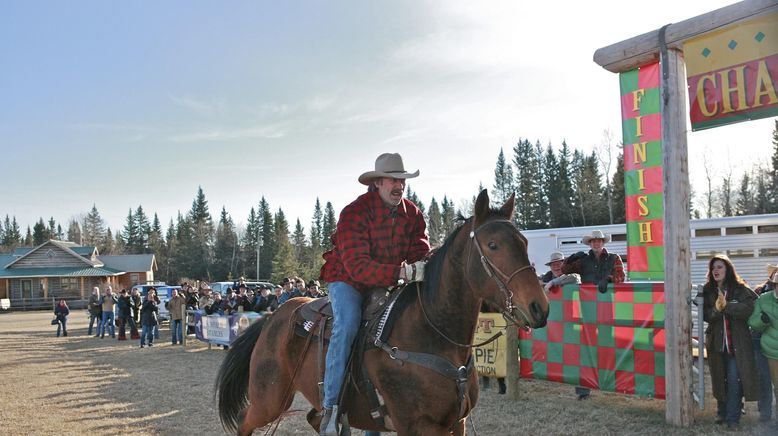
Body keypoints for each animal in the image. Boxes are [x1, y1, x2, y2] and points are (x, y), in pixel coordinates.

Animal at [215, 191, 548, 436]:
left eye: (524, 242)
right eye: (492, 245)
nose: (539, 307)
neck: (431, 335)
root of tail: (274, 317)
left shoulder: (458, 423)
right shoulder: (416, 426)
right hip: (269, 399)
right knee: (245, 421)